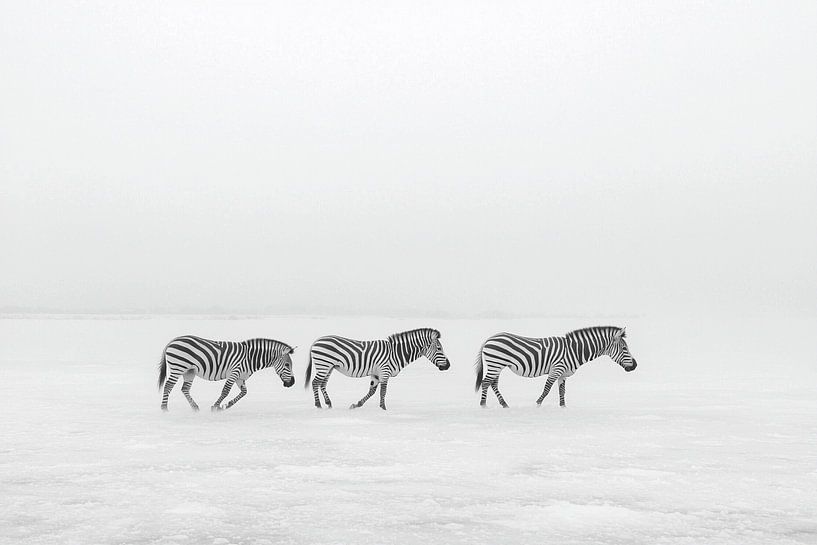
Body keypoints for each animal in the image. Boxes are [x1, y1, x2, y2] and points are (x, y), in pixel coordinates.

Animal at [157, 335, 295, 411]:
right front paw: (215, 407)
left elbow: (244, 393)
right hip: (178, 367)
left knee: (185, 389)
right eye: (287, 365)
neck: (250, 358)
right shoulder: (234, 372)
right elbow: (225, 391)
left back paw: (195, 407)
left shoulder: (240, 377)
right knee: (168, 385)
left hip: (189, 371)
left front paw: (226, 406)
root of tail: (172, 341)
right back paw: (164, 409)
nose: (292, 383)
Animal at [304, 328, 450, 410]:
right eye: (439, 348)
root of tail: (316, 341)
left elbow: (372, 391)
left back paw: (328, 403)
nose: (448, 366)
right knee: (315, 382)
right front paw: (383, 409)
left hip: (329, 367)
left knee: (322, 383)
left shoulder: (375, 374)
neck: (396, 353)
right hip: (324, 364)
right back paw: (318, 405)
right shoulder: (384, 371)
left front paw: (356, 405)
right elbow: (383, 392)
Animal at [474, 326, 637, 408]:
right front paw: (538, 405)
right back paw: (483, 406)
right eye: (624, 348)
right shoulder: (556, 369)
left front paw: (563, 408)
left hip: (498, 365)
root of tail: (489, 339)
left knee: (493, 383)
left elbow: (562, 391)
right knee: (486, 382)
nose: (635, 365)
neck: (574, 350)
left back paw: (504, 404)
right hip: (496, 363)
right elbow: (546, 390)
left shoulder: (563, 374)